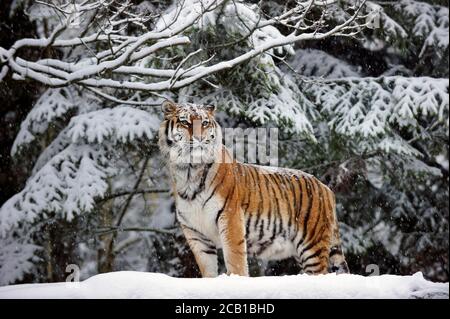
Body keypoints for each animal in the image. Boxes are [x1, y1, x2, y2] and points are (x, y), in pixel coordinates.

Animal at [160, 101, 350, 278]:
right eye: (185, 122)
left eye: (205, 123)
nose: (200, 138)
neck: (189, 172)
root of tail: (325, 188)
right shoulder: (196, 233)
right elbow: (208, 270)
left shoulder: (230, 218)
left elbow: (235, 261)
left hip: (312, 247)